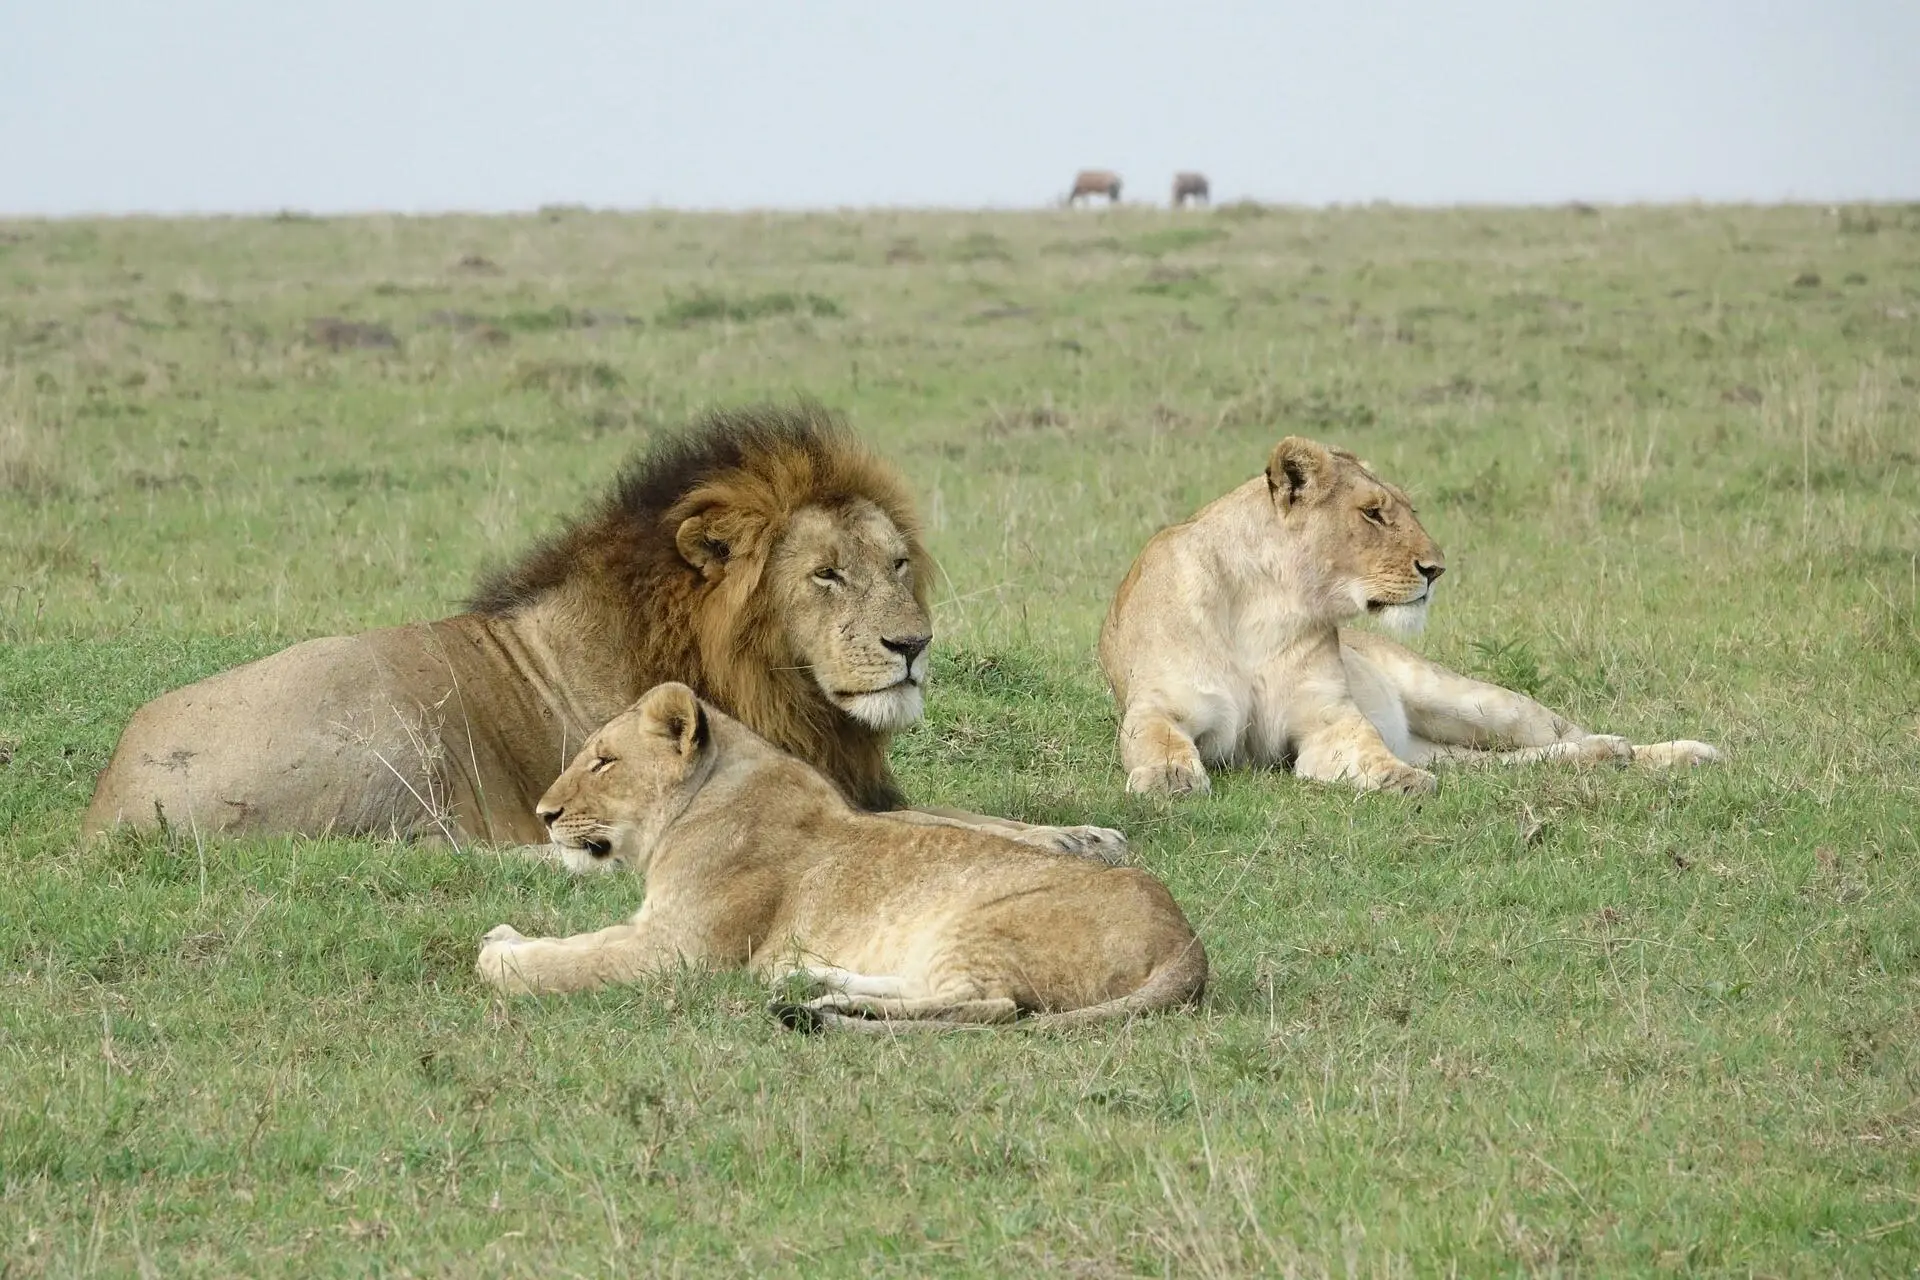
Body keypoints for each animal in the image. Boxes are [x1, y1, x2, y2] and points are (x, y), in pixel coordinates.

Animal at [83, 404, 1123, 856]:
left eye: (898, 565)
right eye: (826, 575)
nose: (912, 647)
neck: (776, 685)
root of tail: (108, 804)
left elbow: (972, 817)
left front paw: (1081, 834)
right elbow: (943, 827)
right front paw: (1059, 845)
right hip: (392, 724)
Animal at [475, 683, 1207, 1031]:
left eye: (603, 761)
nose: (544, 815)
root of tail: (1189, 944)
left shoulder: (680, 951)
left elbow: (571, 963)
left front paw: (499, 954)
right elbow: (575, 947)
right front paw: (506, 936)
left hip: (982, 925)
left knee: (991, 1006)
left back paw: (822, 1003)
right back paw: (812, 982)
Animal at [1099, 435, 1720, 797]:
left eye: (1408, 509)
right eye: (1373, 514)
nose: (1436, 569)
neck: (1268, 603)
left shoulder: (1328, 718)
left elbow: (1366, 747)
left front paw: (1400, 781)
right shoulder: (1162, 704)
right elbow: (1157, 738)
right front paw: (1169, 778)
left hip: (1470, 700)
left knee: (1556, 734)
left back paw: (1670, 752)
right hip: (1455, 745)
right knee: (1504, 763)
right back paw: (1608, 756)